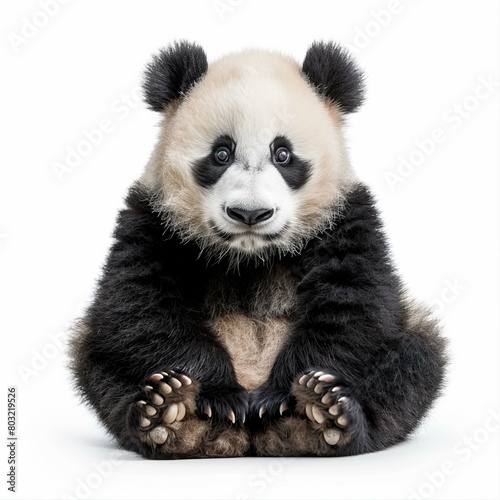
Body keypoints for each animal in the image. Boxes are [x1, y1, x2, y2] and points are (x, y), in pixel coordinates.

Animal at [69, 41, 446, 458]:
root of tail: (251, 438)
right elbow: (141, 304)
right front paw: (220, 395)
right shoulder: (153, 219)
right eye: (221, 154)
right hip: (100, 355)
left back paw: (322, 416)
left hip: (408, 344)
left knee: (413, 361)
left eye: (283, 154)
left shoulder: (346, 217)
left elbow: (352, 305)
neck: (250, 256)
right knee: (100, 365)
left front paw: (282, 394)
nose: (250, 213)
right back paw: (171, 415)